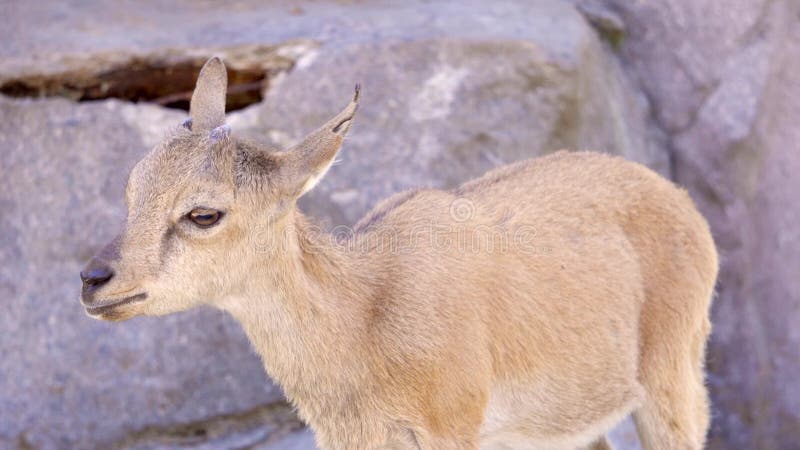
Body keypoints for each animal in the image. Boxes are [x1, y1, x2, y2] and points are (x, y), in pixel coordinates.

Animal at [81, 57, 720, 450]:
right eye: (133, 186)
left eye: (203, 213)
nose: (94, 279)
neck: (365, 318)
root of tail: (684, 206)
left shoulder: (454, 427)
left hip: (674, 378)